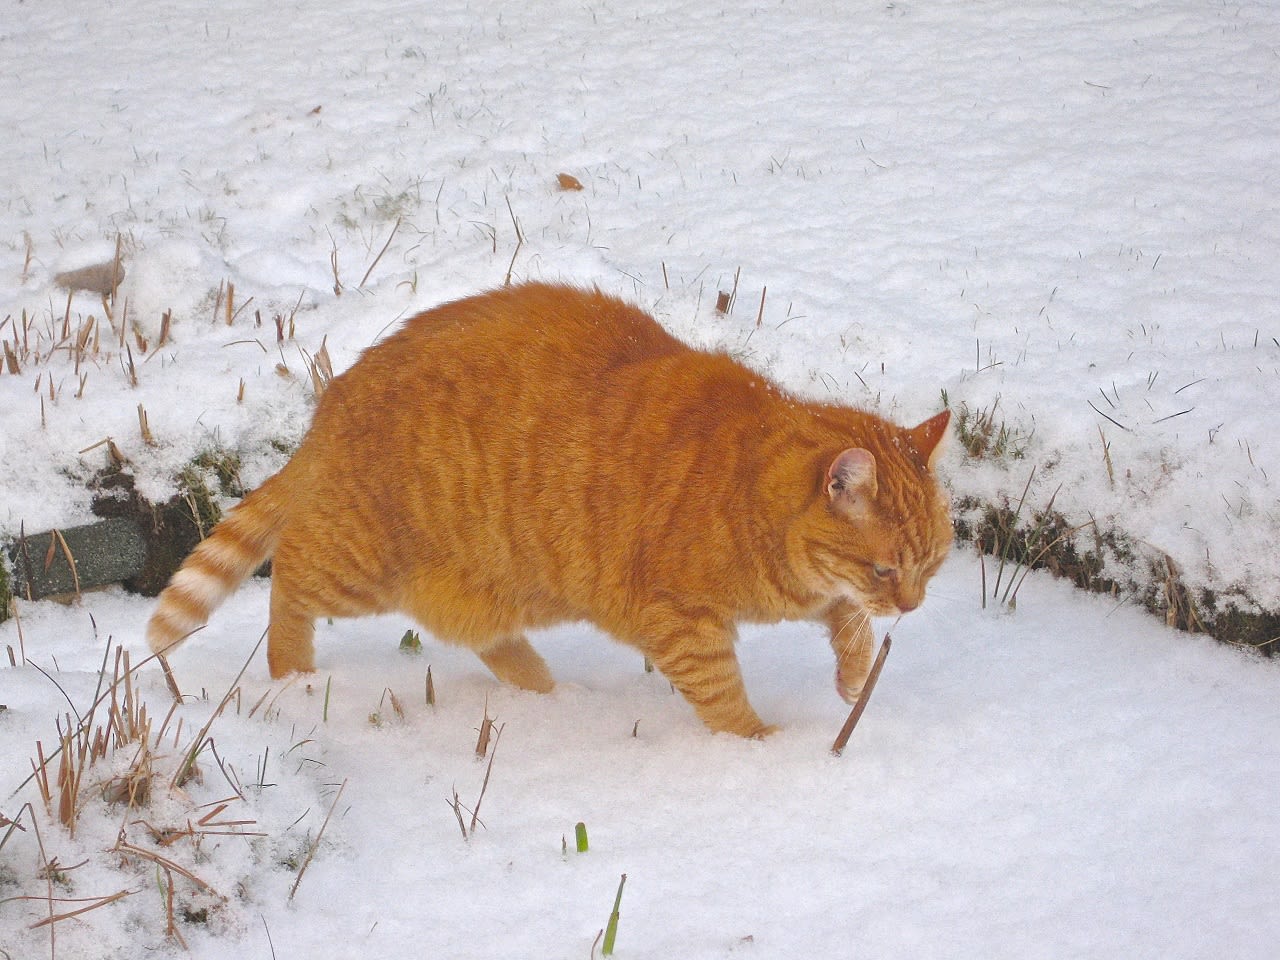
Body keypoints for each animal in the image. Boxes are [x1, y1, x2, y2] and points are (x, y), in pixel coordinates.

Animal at [149, 281, 952, 742]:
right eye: (886, 570)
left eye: (931, 568)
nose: (913, 608)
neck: (744, 482)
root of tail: (333, 401)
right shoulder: (683, 622)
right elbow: (723, 697)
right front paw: (766, 750)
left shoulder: (816, 593)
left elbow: (845, 621)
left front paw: (852, 675)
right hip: (361, 564)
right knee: (289, 579)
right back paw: (295, 678)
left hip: (500, 584)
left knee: (482, 637)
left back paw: (550, 695)